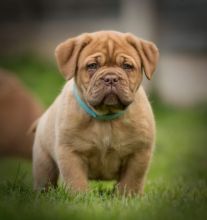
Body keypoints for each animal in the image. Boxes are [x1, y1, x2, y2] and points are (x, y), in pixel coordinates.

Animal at [32, 30, 158, 195]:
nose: (111, 78)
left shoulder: (139, 152)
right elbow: (75, 179)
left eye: (127, 66)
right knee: (45, 178)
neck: (106, 118)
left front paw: (128, 196)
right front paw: (79, 197)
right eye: (92, 66)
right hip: (43, 159)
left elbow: (132, 180)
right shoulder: (70, 152)